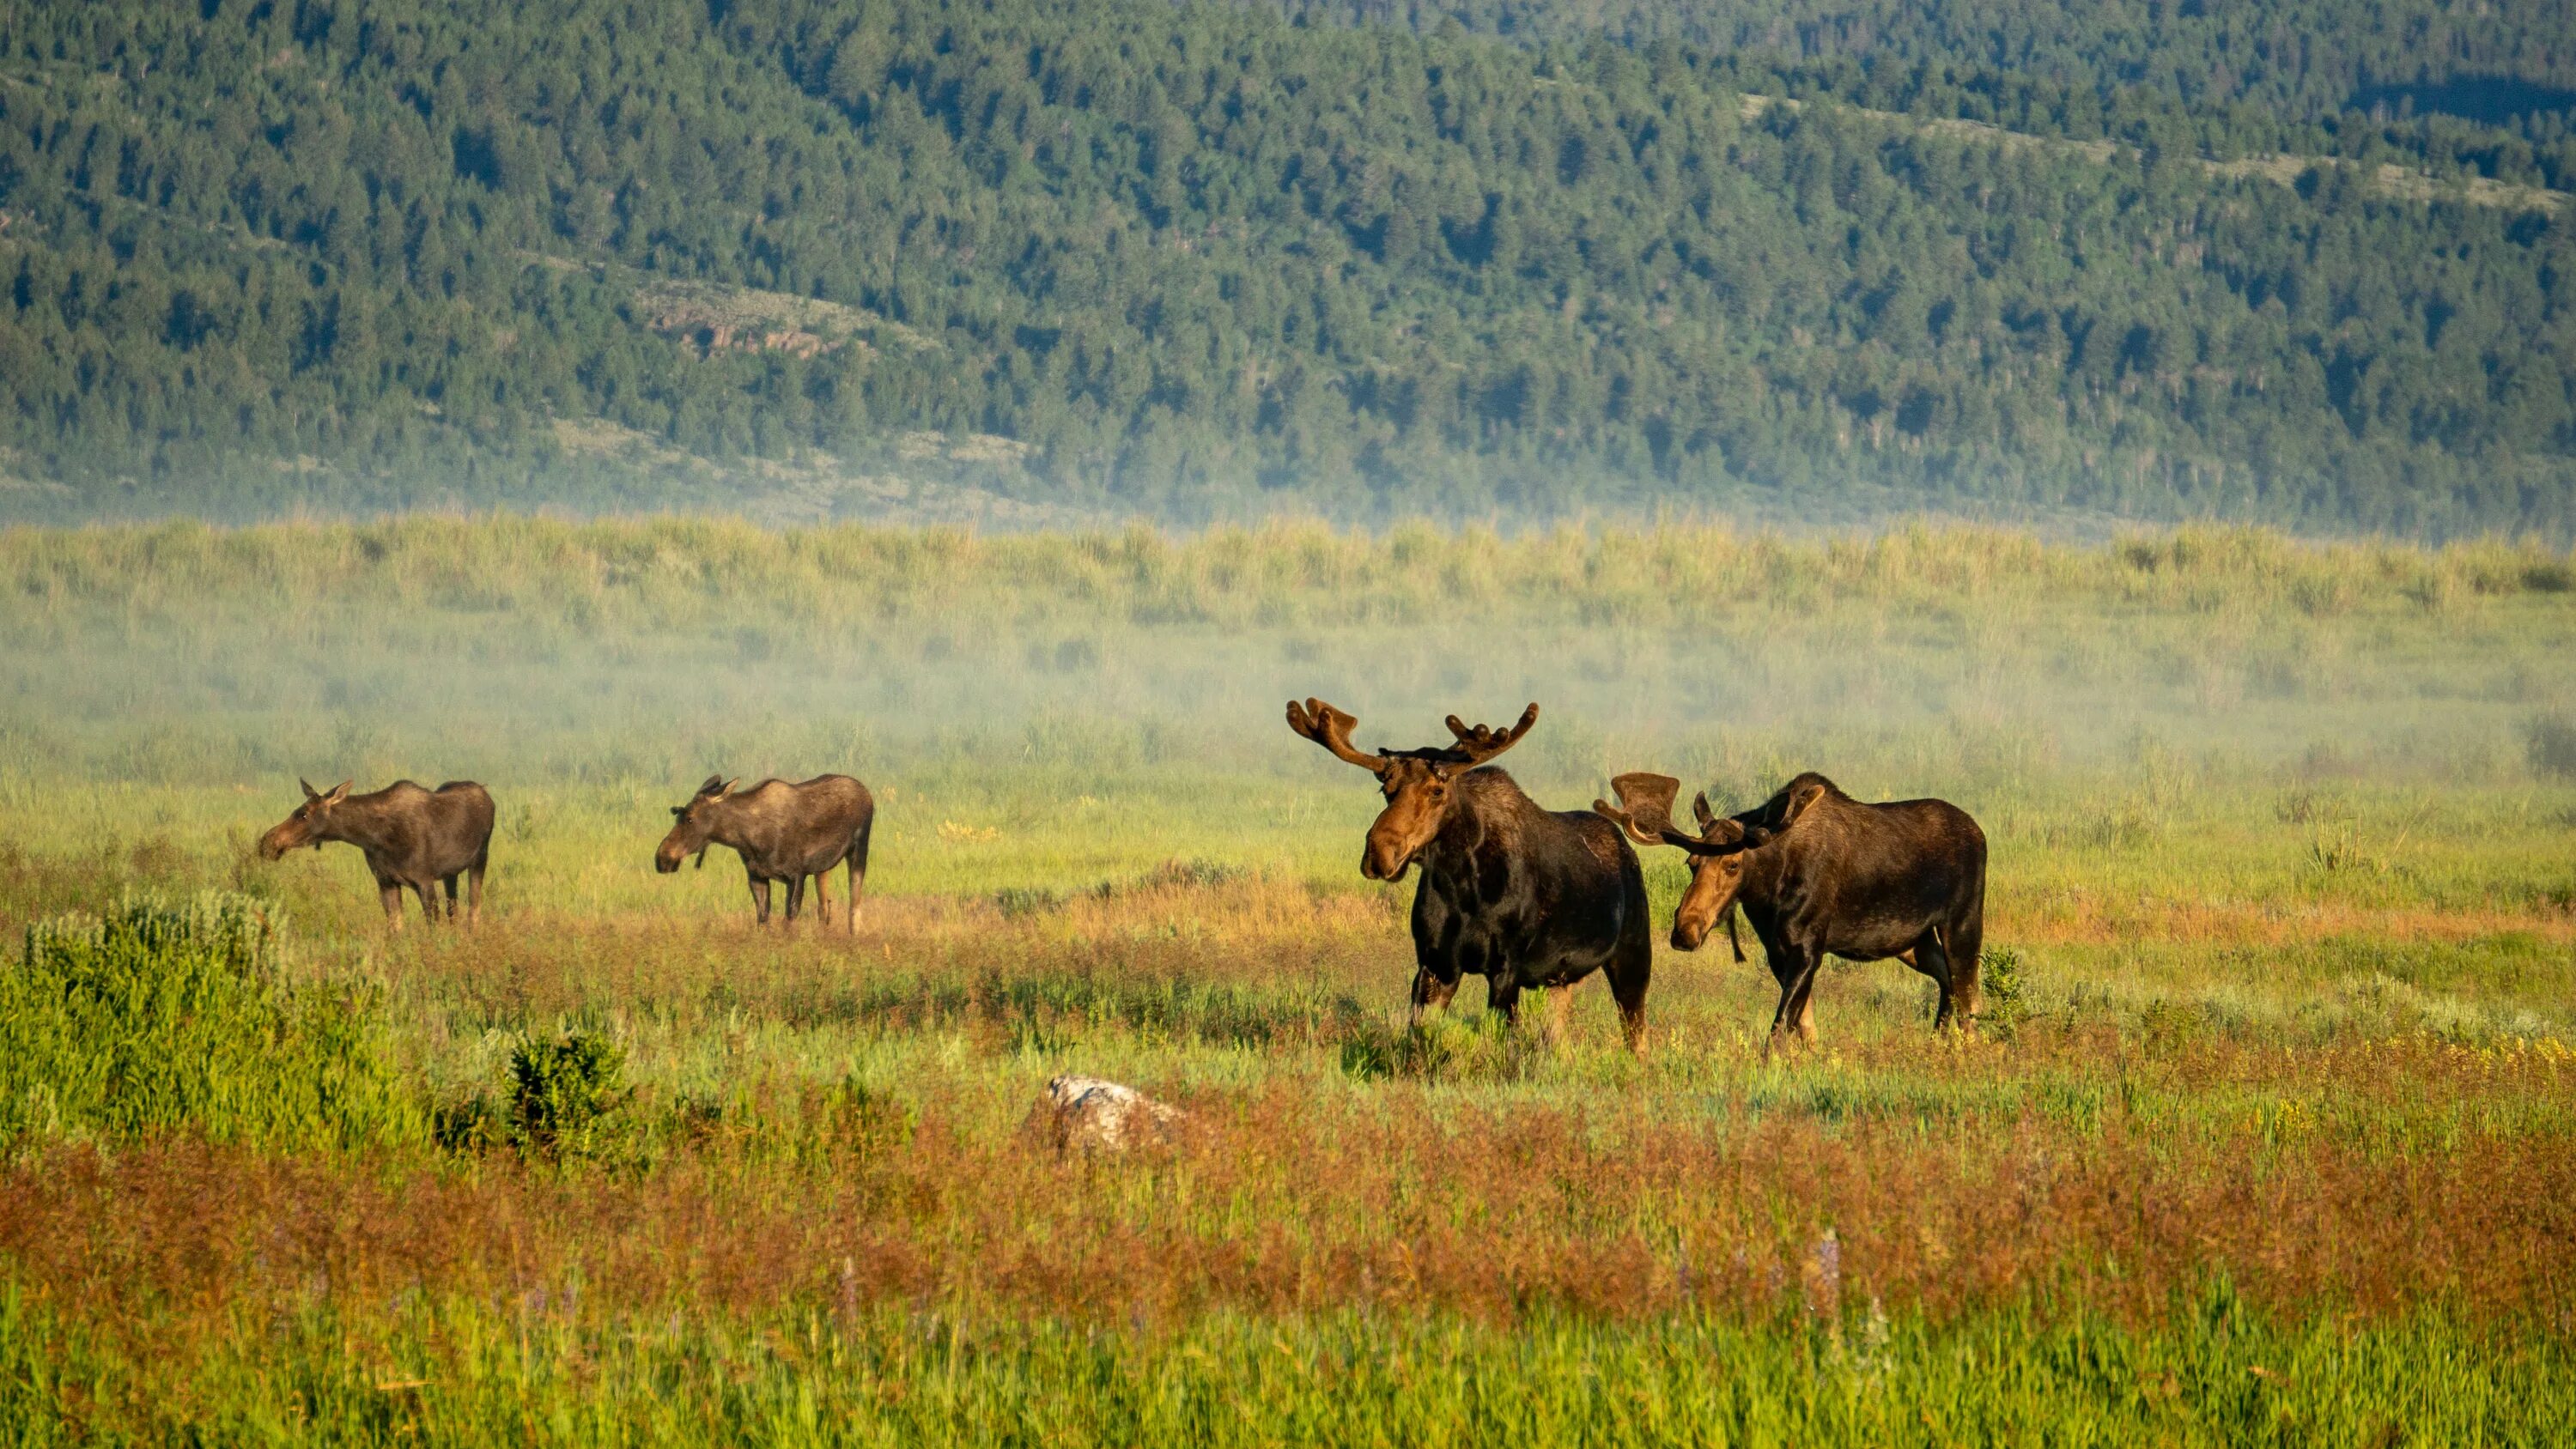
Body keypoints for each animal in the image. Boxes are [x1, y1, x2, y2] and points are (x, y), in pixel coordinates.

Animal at [260, 782, 497, 931]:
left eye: (303, 814)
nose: (267, 842)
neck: (373, 837)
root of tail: (488, 796)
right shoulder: (386, 881)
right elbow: (395, 930)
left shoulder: (424, 880)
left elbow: (433, 929)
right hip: (450, 874)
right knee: (454, 910)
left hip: (479, 859)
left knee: (473, 909)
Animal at [654, 772, 876, 931]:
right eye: (677, 816)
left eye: (690, 818)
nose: (662, 858)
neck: (747, 839)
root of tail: (867, 794)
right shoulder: (757, 876)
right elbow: (762, 921)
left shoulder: (797, 875)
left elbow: (788, 923)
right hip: (822, 869)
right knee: (824, 907)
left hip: (859, 849)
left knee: (854, 906)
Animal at [1283, 694, 1659, 1050]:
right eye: (1385, 789)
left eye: (1437, 790)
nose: (1379, 854)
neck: (1460, 883)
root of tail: (1627, 849)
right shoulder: (1435, 964)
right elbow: (1419, 1036)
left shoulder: (1506, 967)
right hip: (1560, 978)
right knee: (1558, 1039)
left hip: (1634, 955)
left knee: (1637, 1039)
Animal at [1587, 772, 1989, 1055]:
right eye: (1691, 862)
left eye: (1733, 865)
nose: (1685, 930)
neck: (1769, 888)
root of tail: (1980, 833)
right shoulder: (1777, 952)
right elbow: (1804, 1027)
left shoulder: (1810, 947)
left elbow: (1779, 1029)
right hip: (1911, 941)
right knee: (1948, 982)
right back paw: (1936, 1043)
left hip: (1962, 922)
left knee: (1969, 993)